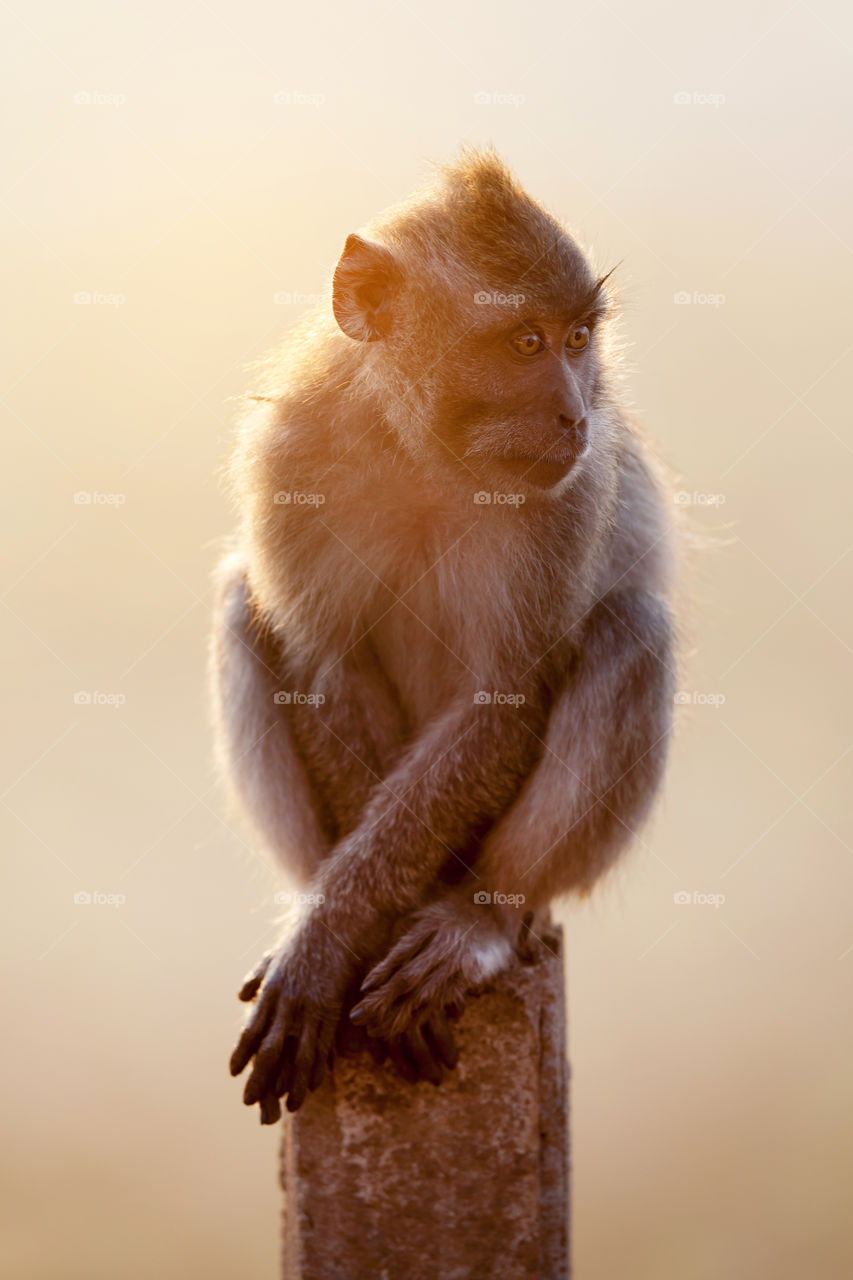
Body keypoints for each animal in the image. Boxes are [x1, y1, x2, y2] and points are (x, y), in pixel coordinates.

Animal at [211, 149, 671, 1126]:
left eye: (578, 339)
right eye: (526, 343)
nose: (576, 416)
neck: (423, 452)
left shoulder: (569, 494)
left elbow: (504, 702)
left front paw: (343, 930)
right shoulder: (288, 454)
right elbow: (322, 663)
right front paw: (335, 932)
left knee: (631, 626)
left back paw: (481, 920)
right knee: (241, 601)